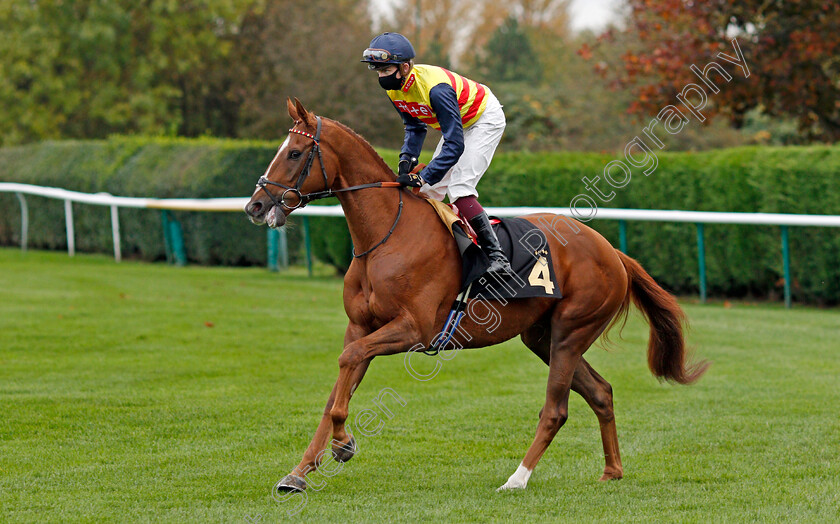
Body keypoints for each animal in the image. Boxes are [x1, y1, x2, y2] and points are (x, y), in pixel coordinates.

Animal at [244, 100, 708, 494]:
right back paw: (612, 470)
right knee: (601, 392)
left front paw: (343, 445)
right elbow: (337, 386)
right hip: (542, 337)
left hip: (571, 331)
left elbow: (348, 365)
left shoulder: (414, 329)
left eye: (295, 153)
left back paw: (517, 479)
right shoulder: (360, 326)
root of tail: (611, 251)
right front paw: (299, 473)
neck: (386, 236)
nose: (255, 206)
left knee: (556, 409)